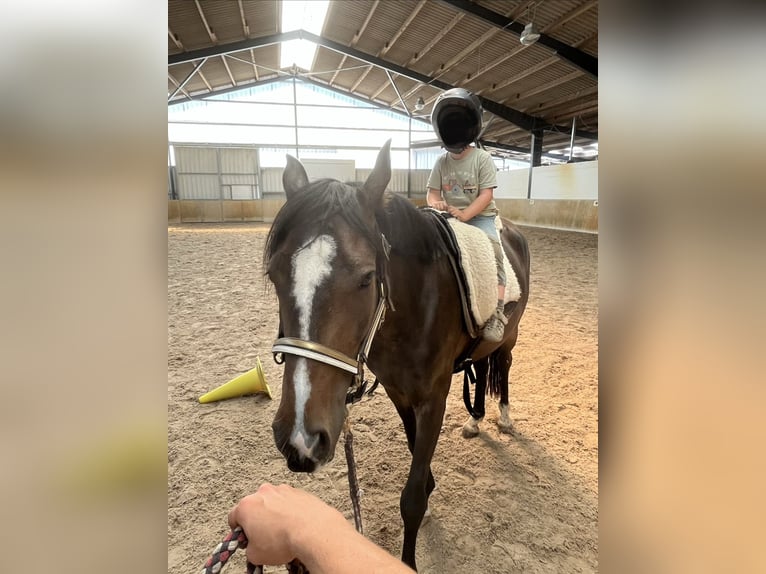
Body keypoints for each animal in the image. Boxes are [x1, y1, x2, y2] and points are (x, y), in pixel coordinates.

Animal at [264, 141, 530, 570]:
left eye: (367, 278)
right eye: (274, 274)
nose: (301, 438)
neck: (417, 304)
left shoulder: (433, 398)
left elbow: (412, 499)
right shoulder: (399, 393)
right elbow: (413, 452)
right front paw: (432, 485)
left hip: (511, 335)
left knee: (502, 366)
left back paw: (503, 416)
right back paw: (475, 419)